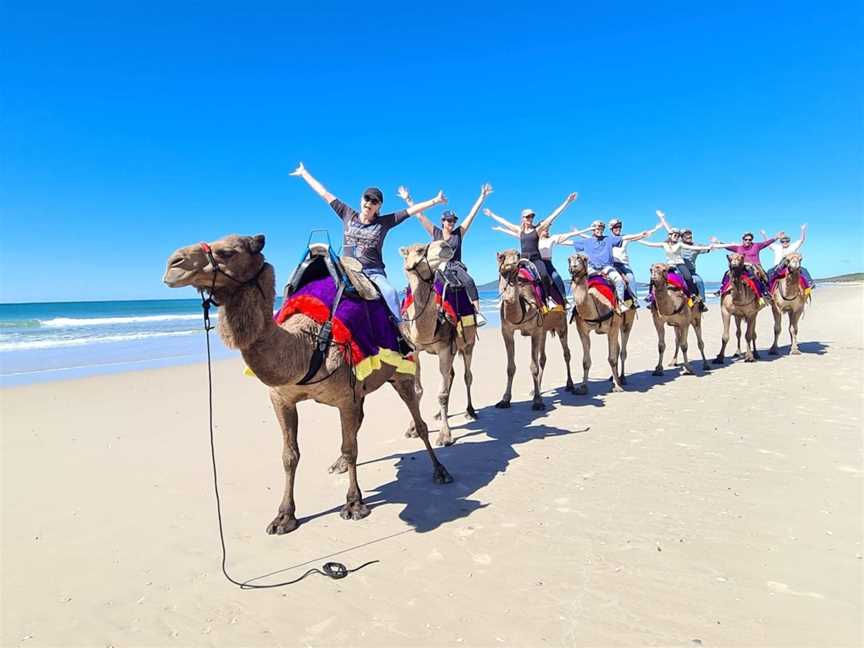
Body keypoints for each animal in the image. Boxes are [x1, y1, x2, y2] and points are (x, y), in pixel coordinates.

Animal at [165, 235, 456, 536]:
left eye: (227, 252)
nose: (173, 263)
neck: (307, 343)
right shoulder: (281, 399)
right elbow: (289, 455)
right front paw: (284, 516)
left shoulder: (346, 398)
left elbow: (351, 448)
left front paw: (354, 504)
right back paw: (338, 465)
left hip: (401, 371)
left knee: (418, 418)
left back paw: (440, 470)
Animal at [400, 240, 480, 448]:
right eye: (419, 250)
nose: (445, 245)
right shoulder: (414, 351)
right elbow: (417, 390)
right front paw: (412, 428)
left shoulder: (445, 348)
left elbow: (441, 394)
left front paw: (445, 435)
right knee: (450, 375)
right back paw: (438, 414)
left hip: (467, 345)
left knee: (467, 375)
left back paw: (470, 411)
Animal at [492, 248, 572, 410]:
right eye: (501, 256)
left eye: (517, 254)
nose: (513, 262)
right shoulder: (507, 331)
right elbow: (510, 367)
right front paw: (505, 399)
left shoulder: (535, 331)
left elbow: (533, 366)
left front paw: (538, 401)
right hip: (544, 330)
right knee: (543, 358)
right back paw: (536, 389)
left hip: (561, 324)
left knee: (566, 353)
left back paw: (570, 385)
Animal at [568, 254, 636, 394]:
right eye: (569, 260)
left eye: (583, 259)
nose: (573, 268)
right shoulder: (582, 330)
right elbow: (586, 361)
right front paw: (582, 387)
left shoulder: (613, 326)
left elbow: (612, 358)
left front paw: (617, 387)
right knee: (618, 348)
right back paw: (613, 377)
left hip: (627, 322)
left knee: (622, 351)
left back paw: (622, 378)